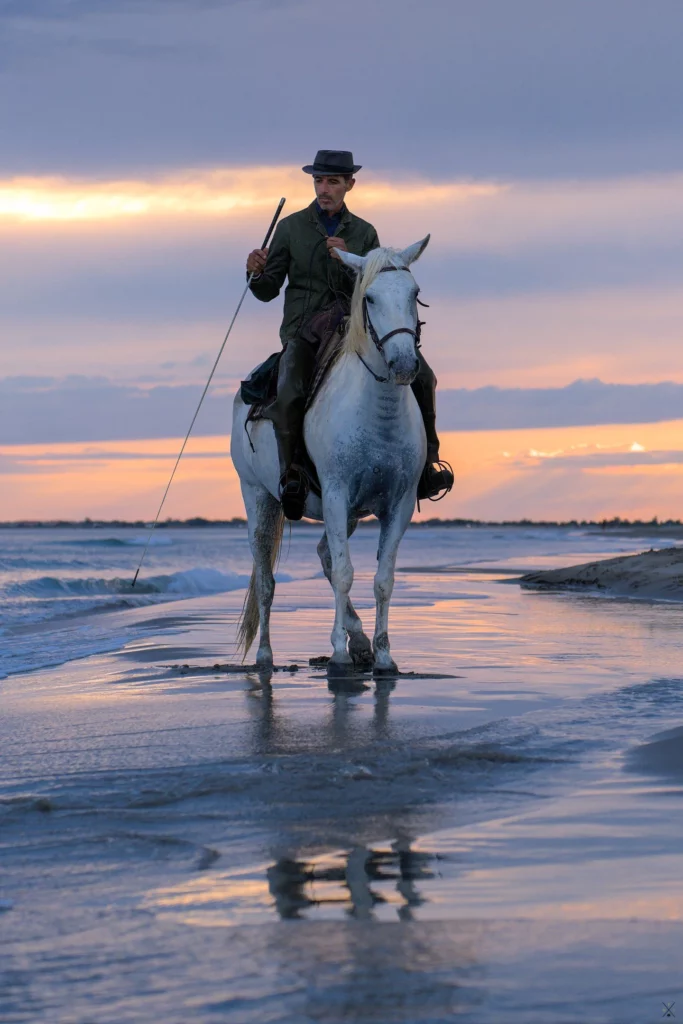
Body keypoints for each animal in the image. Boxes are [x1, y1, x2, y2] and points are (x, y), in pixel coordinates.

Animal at [231, 236, 430, 677]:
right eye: (369, 297)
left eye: (415, 293)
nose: (405, 364)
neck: (379, 410)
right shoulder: (337, 494)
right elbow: (344, 573)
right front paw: (338, 654)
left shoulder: (399, 504)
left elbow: (382, 578)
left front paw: (384, 655)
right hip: (258, 497)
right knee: (266, 580)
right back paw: (266, 656)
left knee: (323, 554)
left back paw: (361, 642)